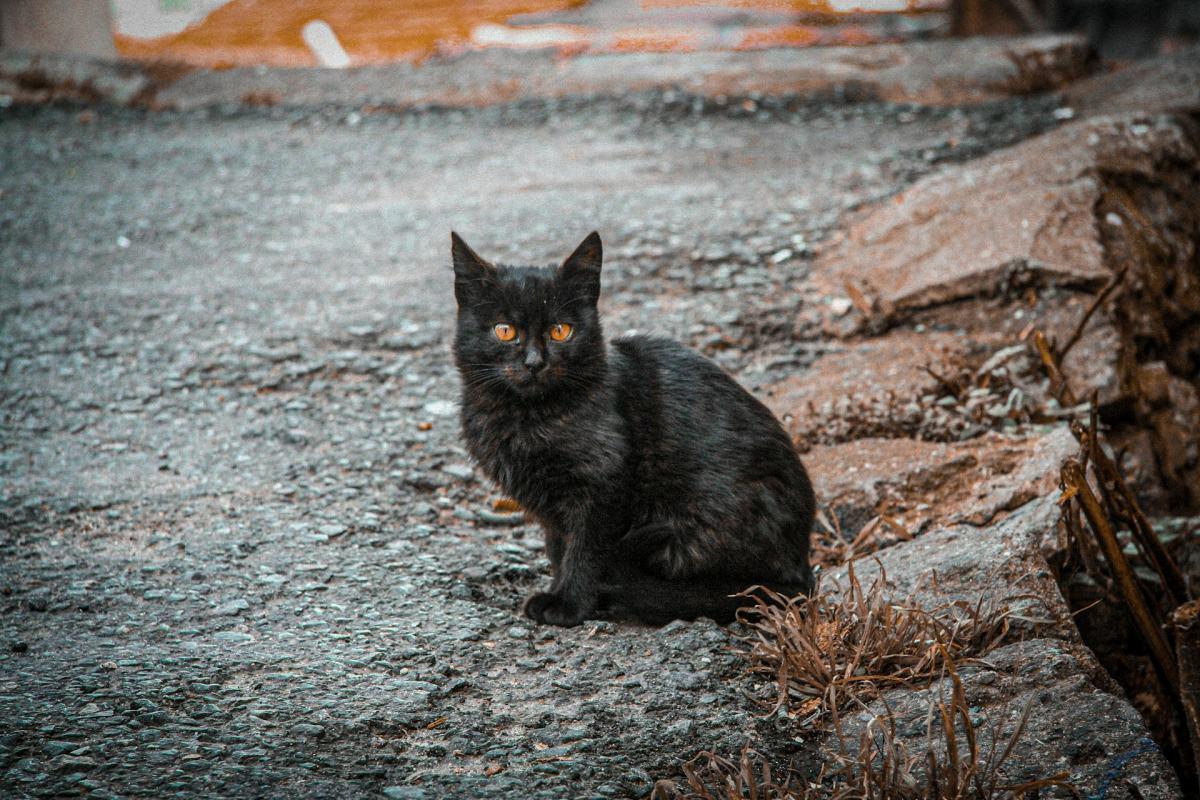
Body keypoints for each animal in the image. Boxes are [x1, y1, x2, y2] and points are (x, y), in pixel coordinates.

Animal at [451, 235, 816, 628]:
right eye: (504, 331)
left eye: (561, 331)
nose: (535, 362)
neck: (526, 417)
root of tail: (804, 571)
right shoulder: (552, 511)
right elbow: (558, 549)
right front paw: (561, 590)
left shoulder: (604, 487)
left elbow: (585, 551)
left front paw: (568, 604)